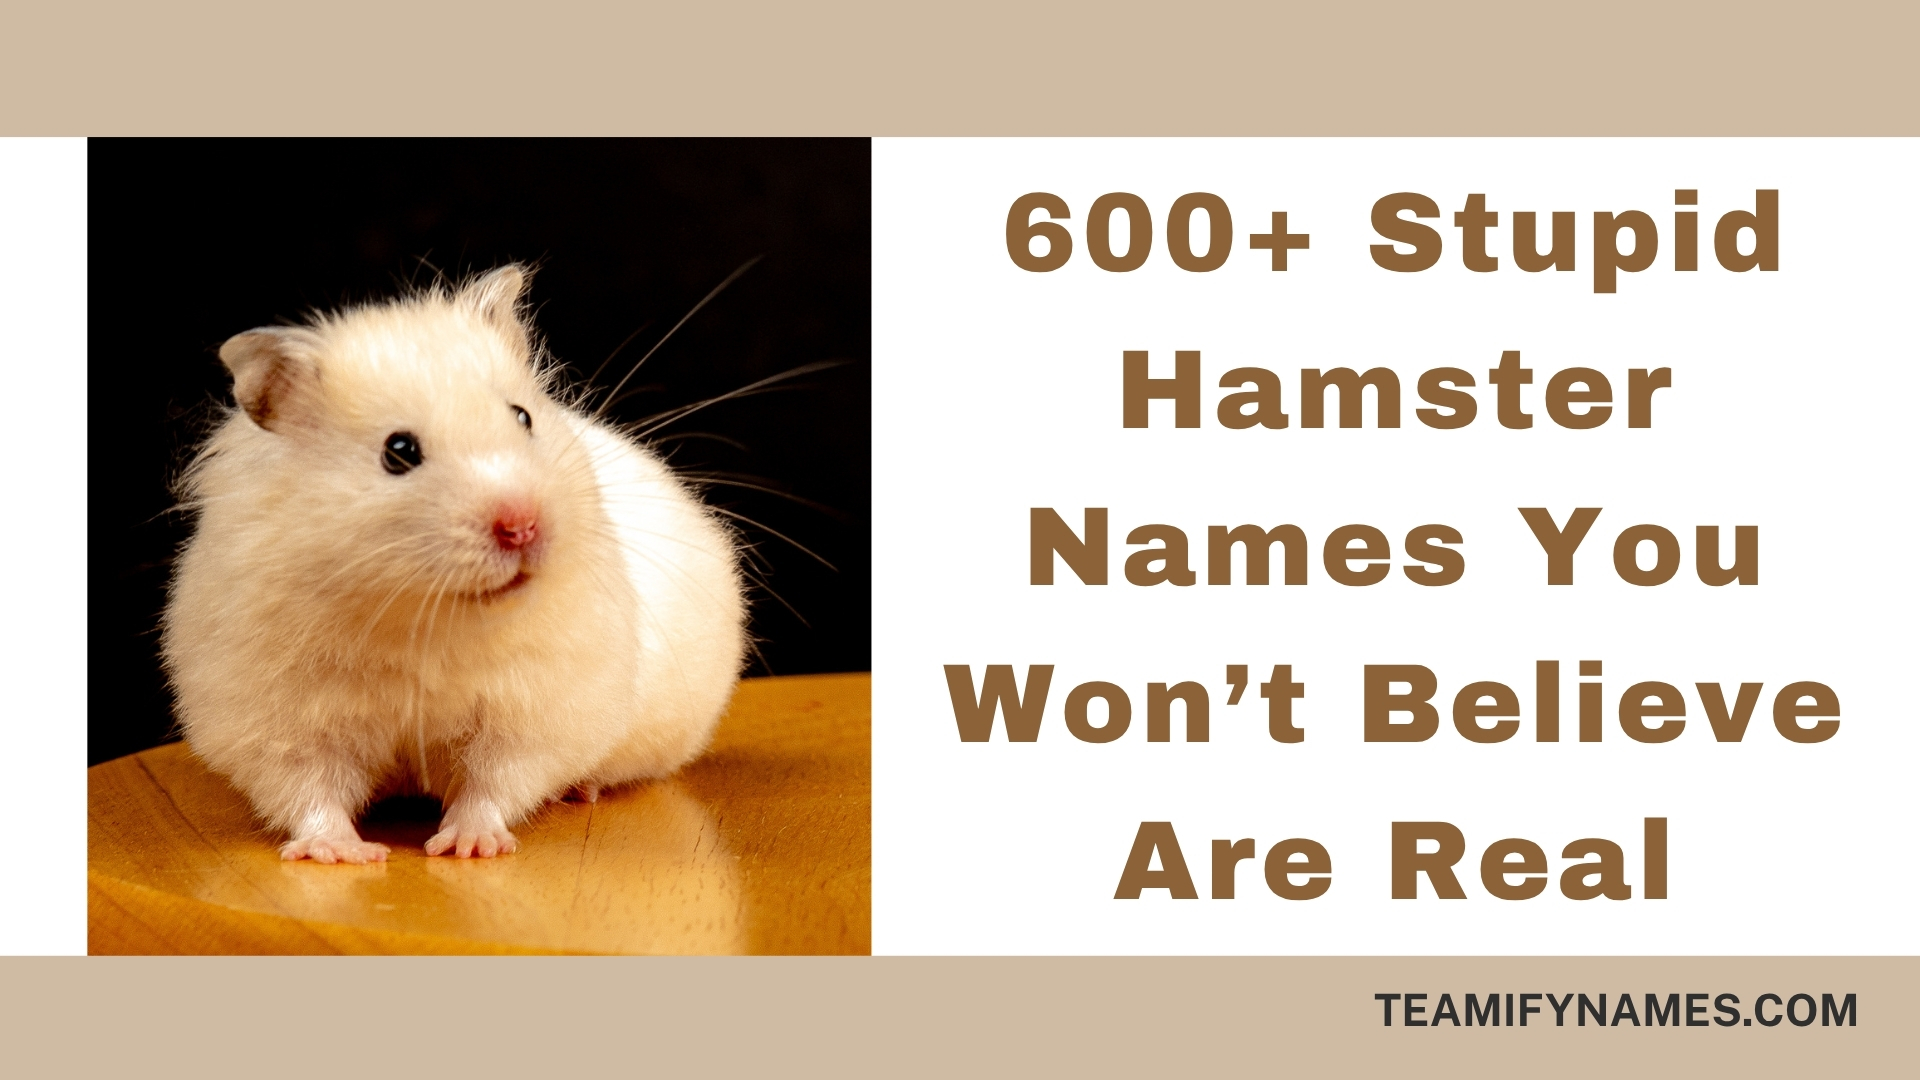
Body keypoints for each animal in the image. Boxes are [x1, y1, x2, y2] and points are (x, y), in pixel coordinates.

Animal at [161, 266, 747, 862]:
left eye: (522, 417)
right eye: (398, 452)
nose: (523, 526)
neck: (421, 615)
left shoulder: (532, 711)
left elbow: (493, 782)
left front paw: (468, 846)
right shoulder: (278, 721)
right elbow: (309, 790)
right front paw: (344, 853)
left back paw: (581, 789)